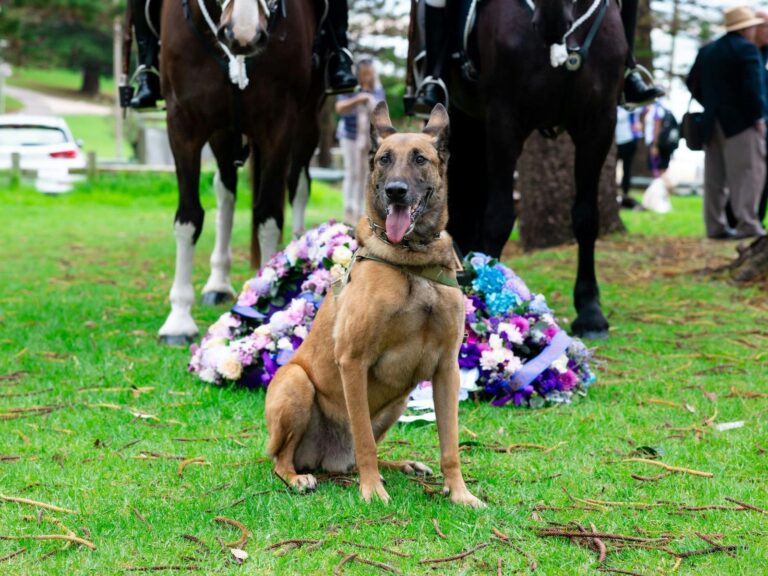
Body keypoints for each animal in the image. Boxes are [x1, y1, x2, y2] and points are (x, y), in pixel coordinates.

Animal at [156, 0, 324, 344]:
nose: (244, 34)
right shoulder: (182, 124)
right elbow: (188, 218)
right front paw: (179, 320)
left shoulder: (280, 123)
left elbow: (269, 217)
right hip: (223, 133)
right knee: (226, 193)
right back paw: (218, 282)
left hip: (307, 122)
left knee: (298, 186)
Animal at [262, 101, 480, 506]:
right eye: (383, 159)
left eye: (420, 158)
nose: (395, 191)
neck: (413, 259)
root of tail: (327, 460)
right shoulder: (353, 361)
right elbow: (363, 439)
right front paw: (373, 490)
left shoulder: (447, 369)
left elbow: (450, 444)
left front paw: (459, 493)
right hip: (297, 384)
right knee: (284, 459)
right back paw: (299, 478)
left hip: (398, 402)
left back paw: (406, 466)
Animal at [412, 0, 628, 338]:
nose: (552, 21)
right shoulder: (504, 119)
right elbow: (499, 217)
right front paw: (485, 302)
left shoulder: (599, 123)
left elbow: (586, 218)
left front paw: (590, 311)